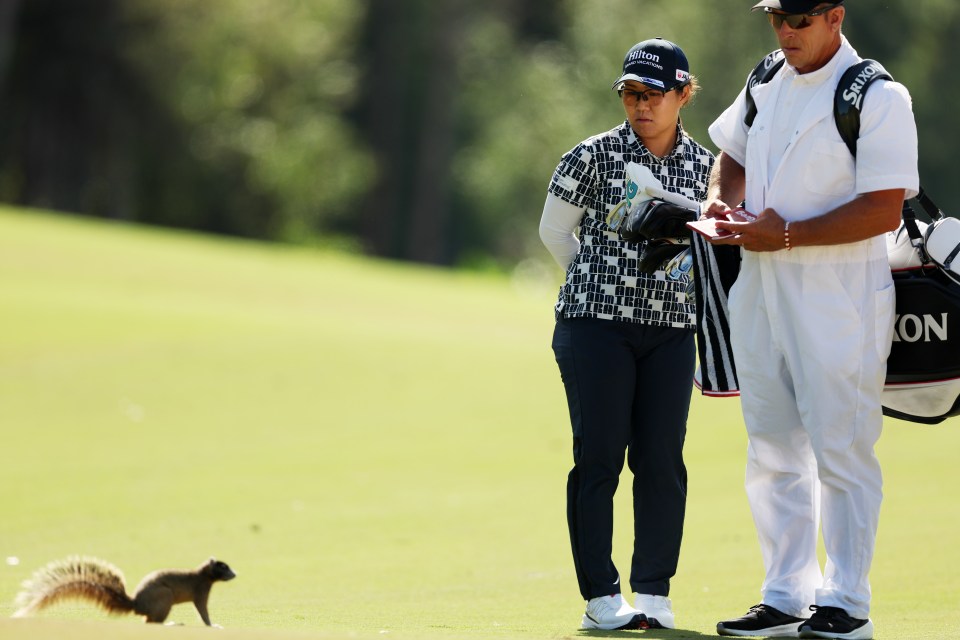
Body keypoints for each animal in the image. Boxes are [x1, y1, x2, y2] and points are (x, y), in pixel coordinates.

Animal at [12, 556, 236, 624]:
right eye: (223, 567)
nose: (235, 574)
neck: (203, 574)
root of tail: (136, 604)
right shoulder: (200, 591)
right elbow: (203, 611)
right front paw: (212, 625)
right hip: (164, 598)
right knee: (151, 622)